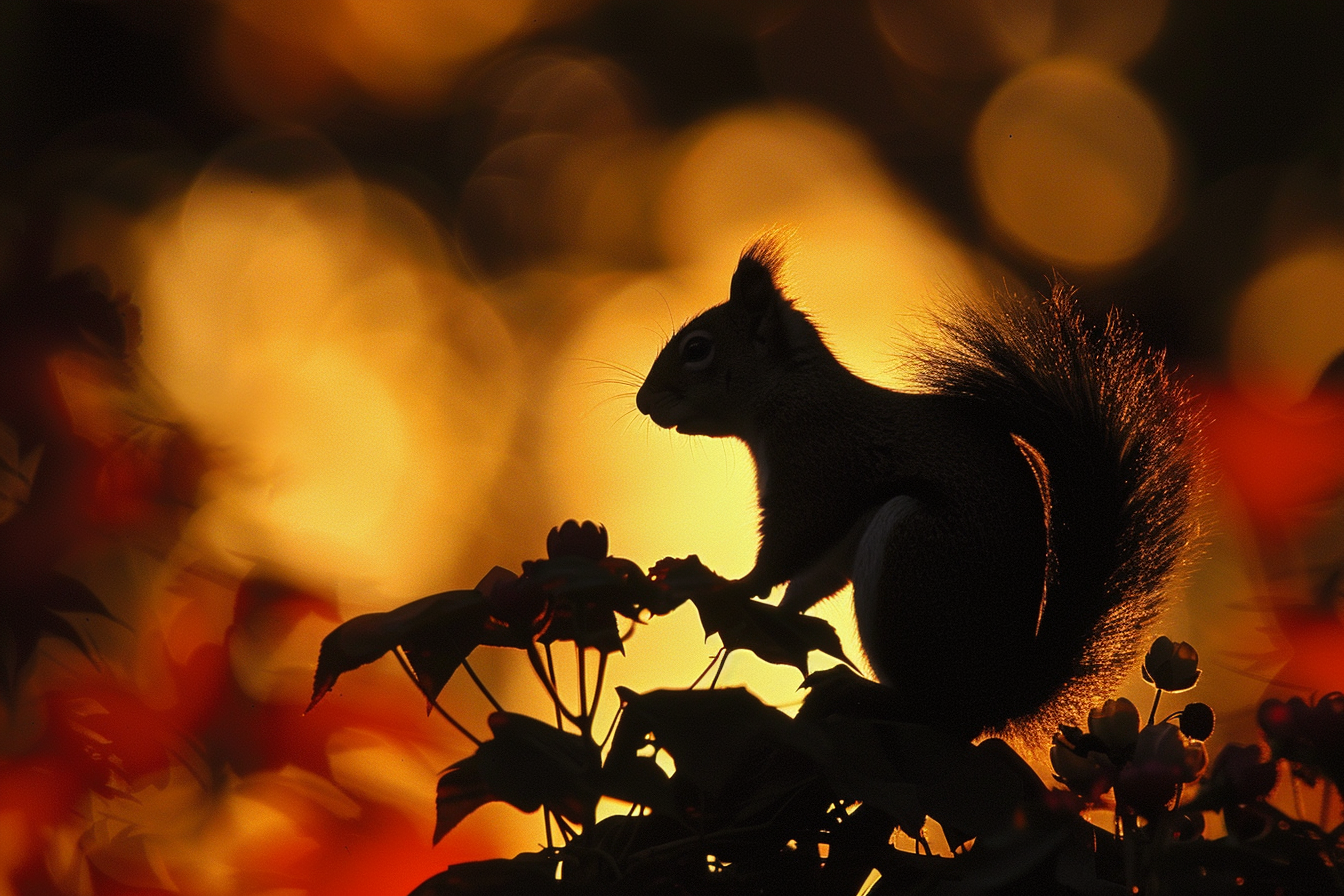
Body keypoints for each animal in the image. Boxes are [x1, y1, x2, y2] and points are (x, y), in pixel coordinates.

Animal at [635, 238, 1203, 739]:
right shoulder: (837, 530)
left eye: (697, 348)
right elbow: (813, 576)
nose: (643, 401)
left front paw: (736, 586)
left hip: (912, 562)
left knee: (936, 712)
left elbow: (786, 548)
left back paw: (857, 694)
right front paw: (779, 613)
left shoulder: (817, 471)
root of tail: (998, 699)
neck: (792, 393)